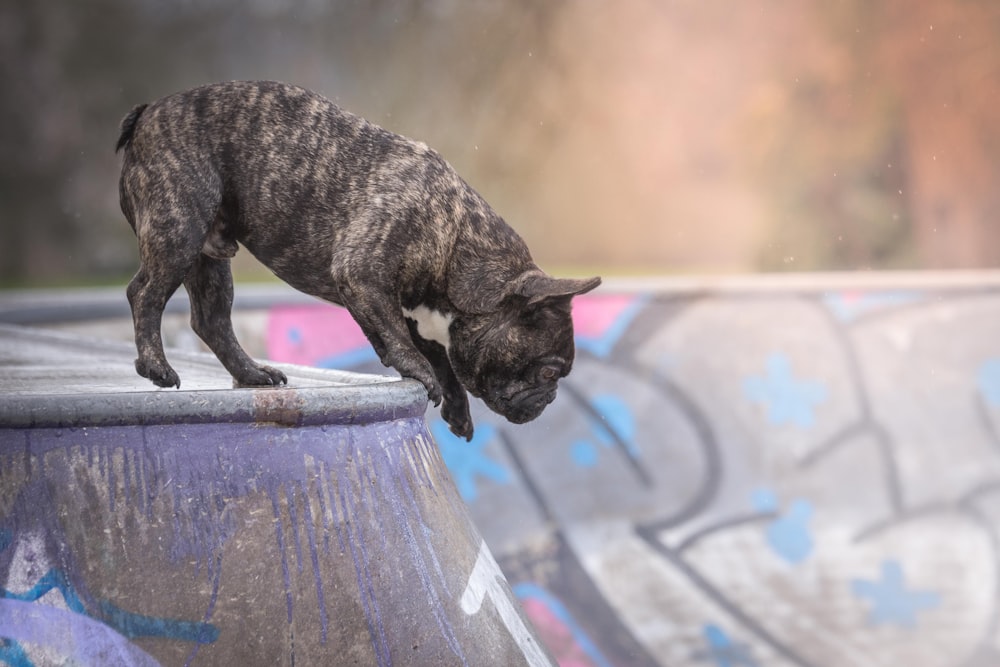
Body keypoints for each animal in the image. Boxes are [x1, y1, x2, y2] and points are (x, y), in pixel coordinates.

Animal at [119, 81, 600, 440]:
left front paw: (457, 407)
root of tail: (145, 113)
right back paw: (156, 366)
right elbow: (408, 345)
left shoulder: (408, 309)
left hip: (210, 255)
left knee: (211, 319)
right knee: (145, 293)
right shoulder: (363, 274)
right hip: (179, 229)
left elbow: (436, 356)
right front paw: (418, 373)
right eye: (548, 373)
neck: (459, 244)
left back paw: (252, 373)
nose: (550, 400)